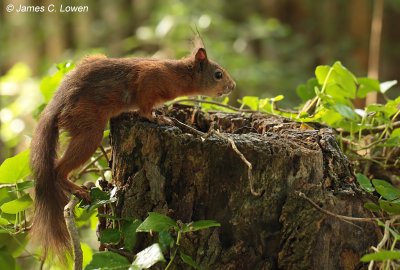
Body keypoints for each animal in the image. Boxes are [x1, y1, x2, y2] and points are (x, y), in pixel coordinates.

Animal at [30, 47, 234, 258]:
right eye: (218, 74)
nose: (232, 86)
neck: (178, 74)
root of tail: (60, 101)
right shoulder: (149, 79)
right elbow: (145, 108)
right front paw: (157, 118)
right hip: (89, 126)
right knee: (58, 170)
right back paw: (76, 189)